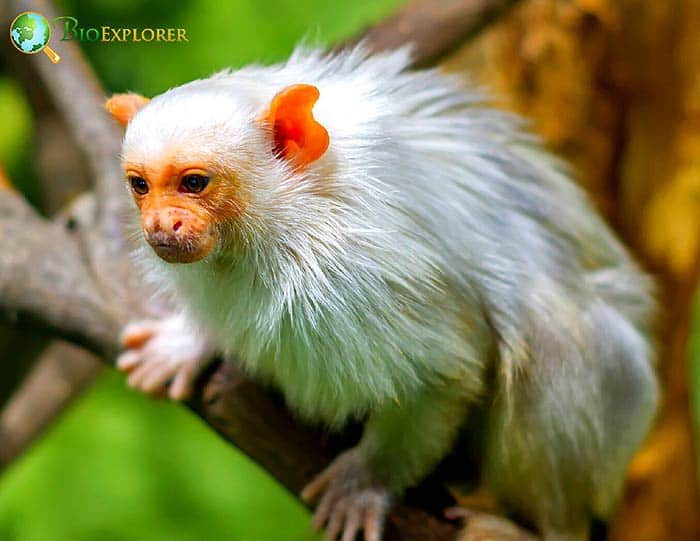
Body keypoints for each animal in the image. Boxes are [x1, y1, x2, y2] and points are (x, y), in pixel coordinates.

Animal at [107, 46, 659, 541]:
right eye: (140, 186)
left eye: (194, 182)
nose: (160, 224)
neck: (282, 226)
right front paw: (185, 343)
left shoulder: (386, 271)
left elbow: (444, 374)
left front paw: (365, 481)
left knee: (554, 336)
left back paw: (548, 529)